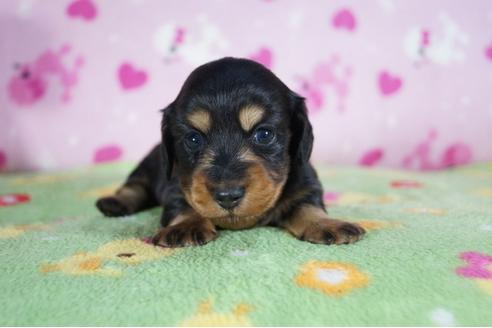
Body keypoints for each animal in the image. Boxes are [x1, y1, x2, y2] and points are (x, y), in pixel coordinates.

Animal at [96, 57, 366, 247]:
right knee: (134, 186)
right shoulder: (176, 185)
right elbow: (183, 205)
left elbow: (308, 206)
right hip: (146, 167)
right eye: (193, 139)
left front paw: (328, 224)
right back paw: (114, 203)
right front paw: (185, 226)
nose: (227, 196)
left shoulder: (306, 183)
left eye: (264, 134)